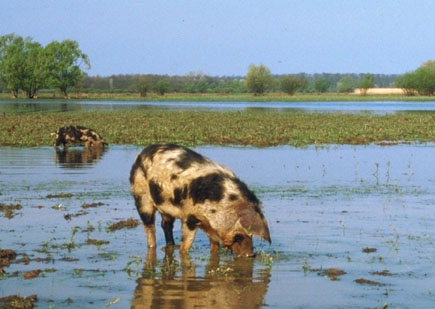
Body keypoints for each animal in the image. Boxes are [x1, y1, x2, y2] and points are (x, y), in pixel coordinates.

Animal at [130, 143, 272, 256]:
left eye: (251, 235)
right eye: (238, 237)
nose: (250, 255)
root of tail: (141, 154)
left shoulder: (210, 225)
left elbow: (214, 245)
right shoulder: (190, 216)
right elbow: (187, 241)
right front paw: (183, 251)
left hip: (165, 206)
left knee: (166, 225)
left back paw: (170, 245)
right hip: (141, 196)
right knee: (149, 226)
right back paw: (154, 246)